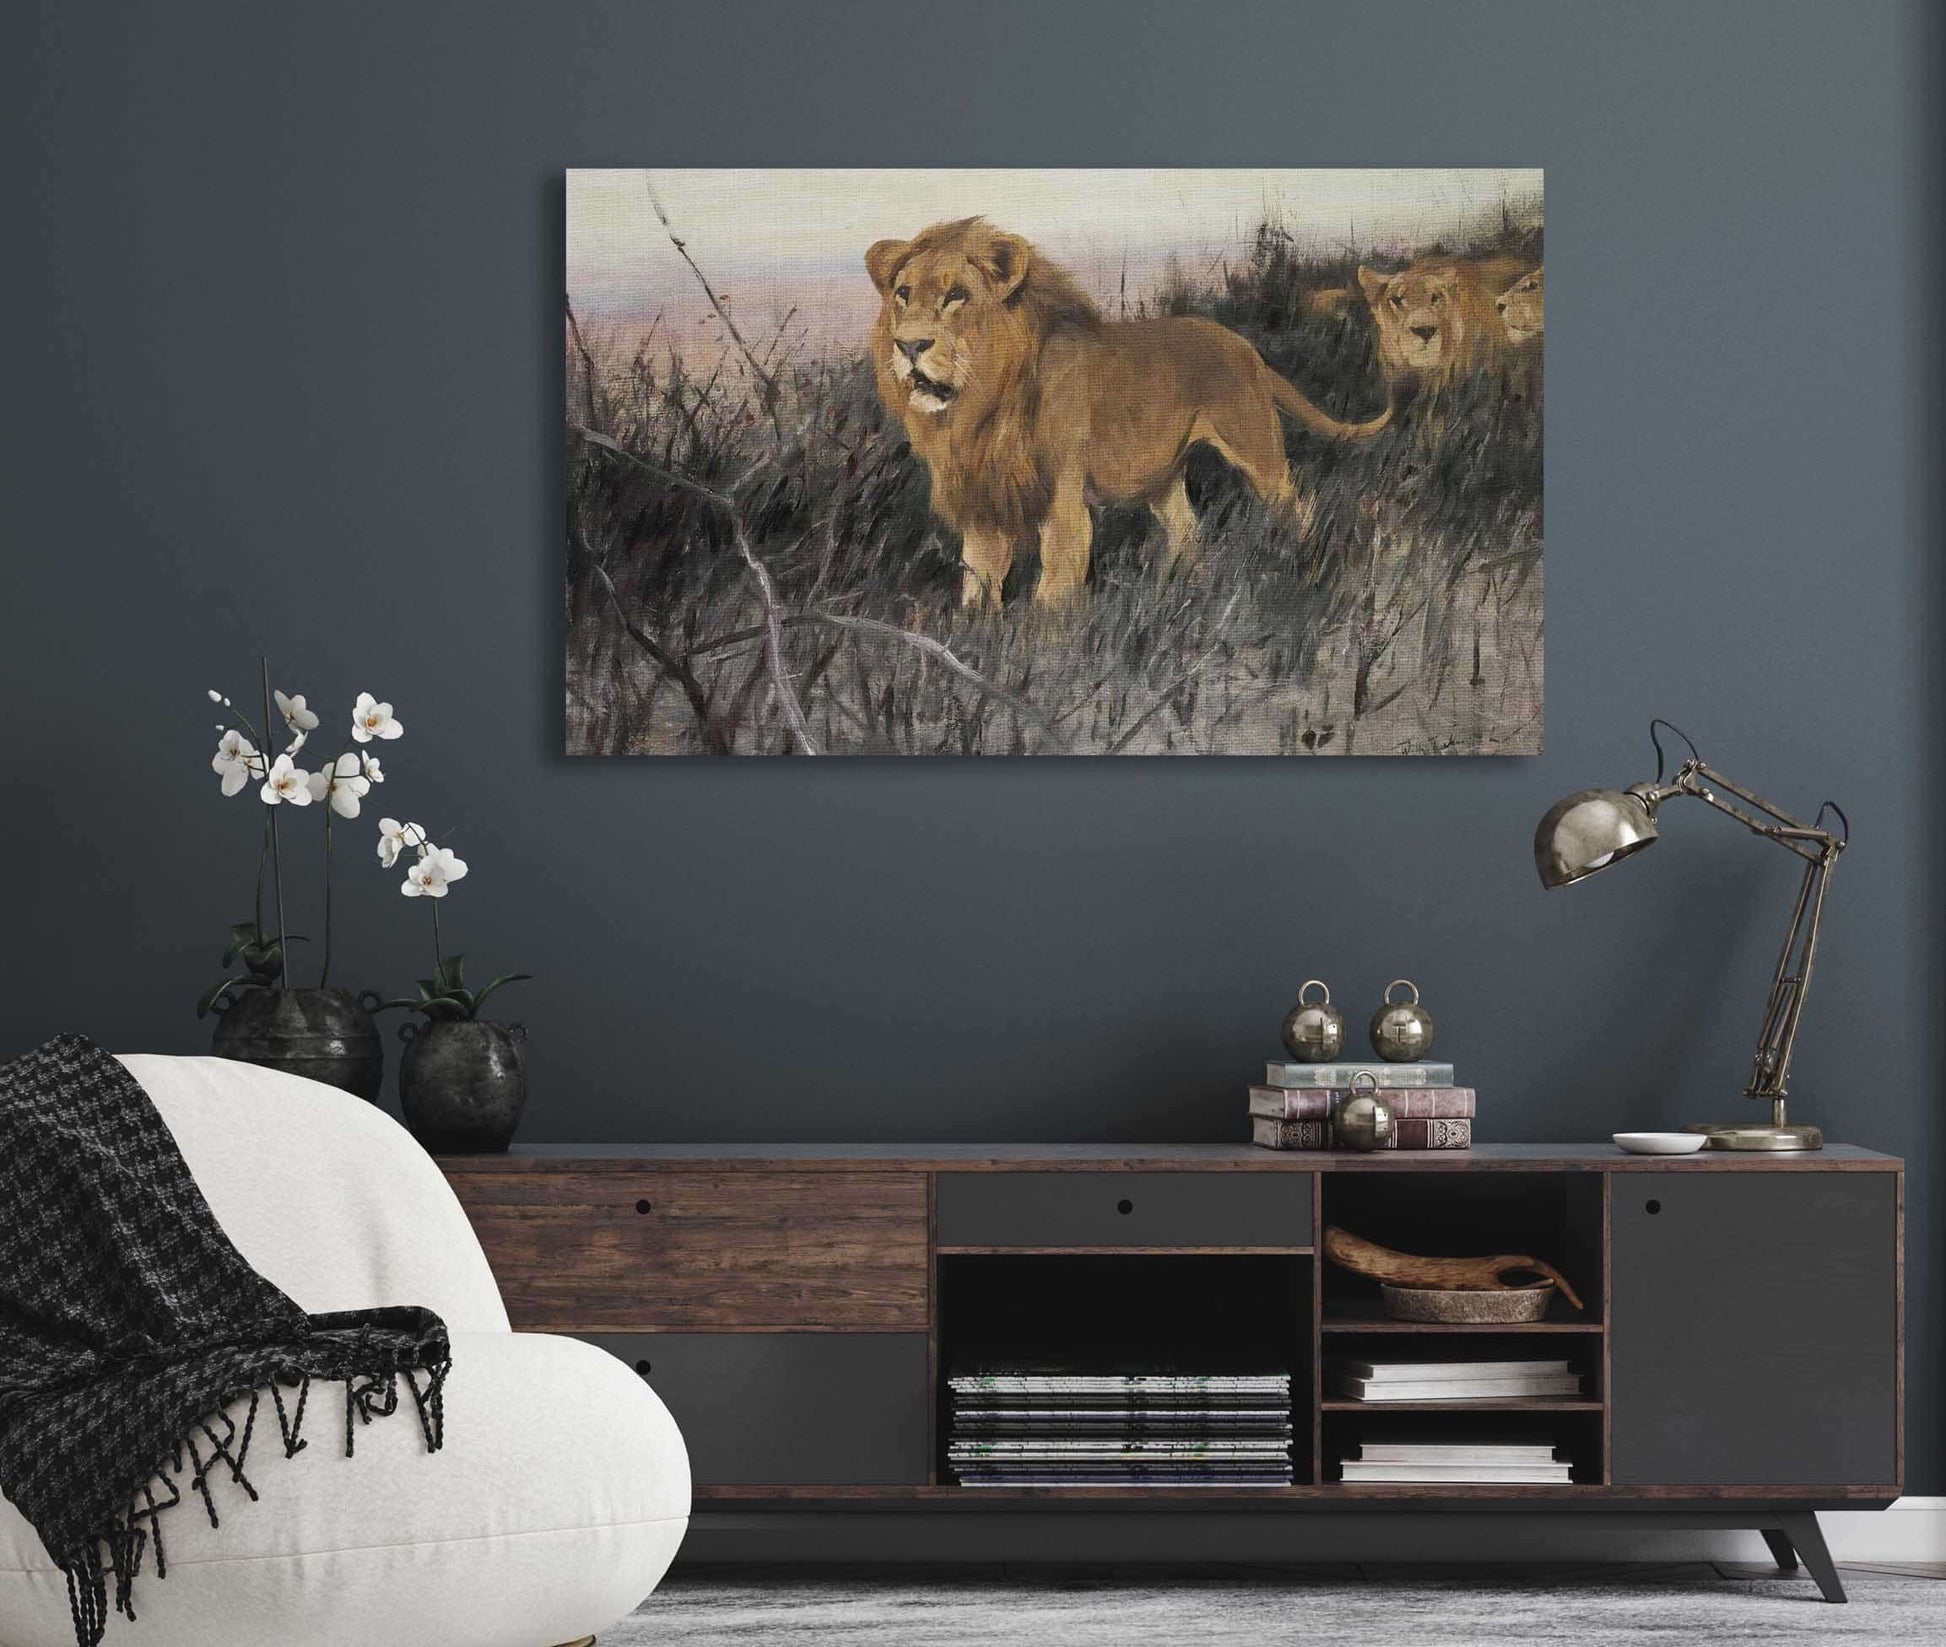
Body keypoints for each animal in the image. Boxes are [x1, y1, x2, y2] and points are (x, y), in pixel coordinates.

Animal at [866, 218, 1393, 609]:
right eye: (903, 294)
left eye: (956, 296)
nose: (909, 345)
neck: (981, 405)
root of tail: (1244, 346)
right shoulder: (984, 506)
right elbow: (978, 586)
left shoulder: (1062, 504)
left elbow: (1052, 593)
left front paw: (1042, 659)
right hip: (1161, 476)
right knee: (1188, 531)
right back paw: (1179, 591)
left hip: (1257, 450)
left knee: (1296, 506)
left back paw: (1309, 563)